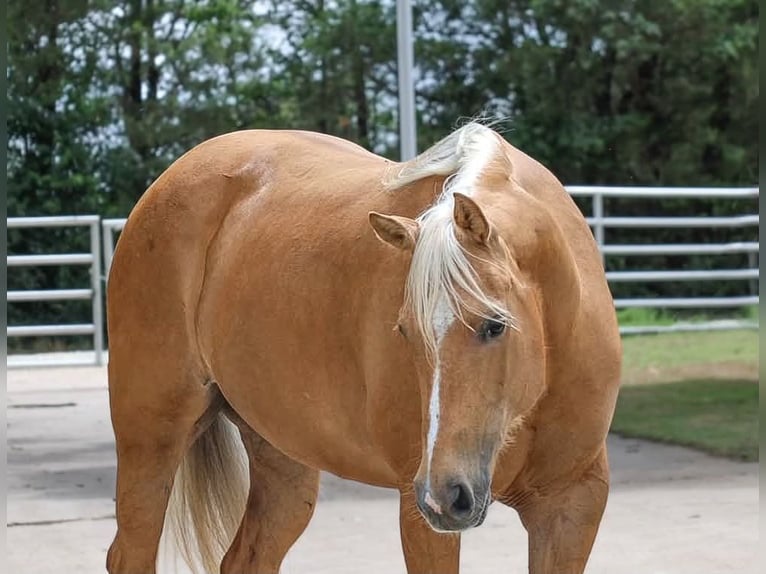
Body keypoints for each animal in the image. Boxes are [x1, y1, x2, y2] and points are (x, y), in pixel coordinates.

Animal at [106, 122, 621, 574]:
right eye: (406, 332)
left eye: (495, 325)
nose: (444, 494)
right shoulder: (422, 518)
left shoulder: (572, 504)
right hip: (151, 440)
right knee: (130, 555)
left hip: (283, 461)